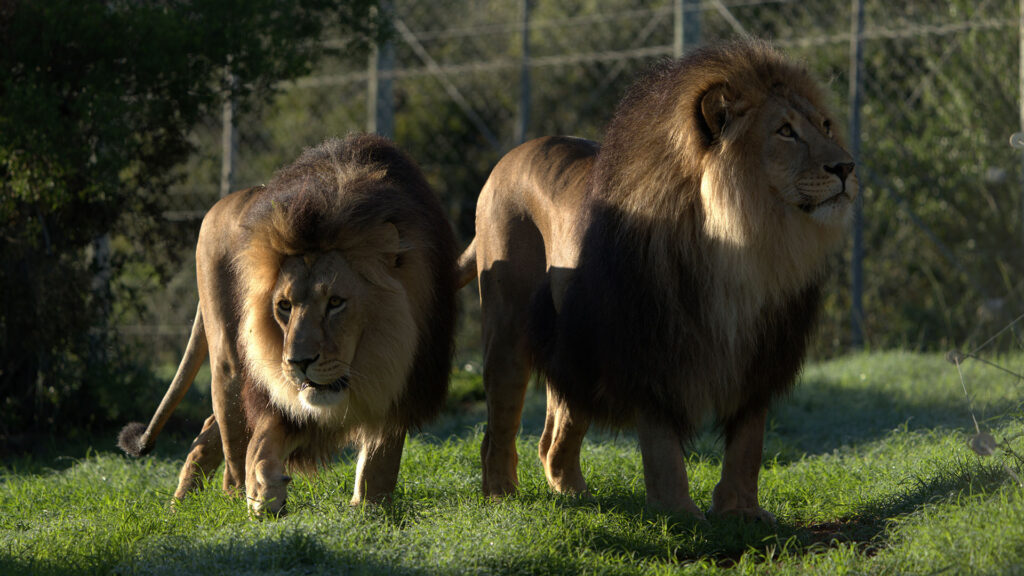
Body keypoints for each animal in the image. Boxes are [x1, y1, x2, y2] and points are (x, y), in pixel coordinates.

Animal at [119, 134, 457, 516]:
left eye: (335, 302)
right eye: (284, 306)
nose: (299, 362)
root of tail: (224, 202)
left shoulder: (401, 380)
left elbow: (380, 458)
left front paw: (370, 510)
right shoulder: (277, 392)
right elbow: (260, 444)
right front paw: (264, 492)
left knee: (210, 432)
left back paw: (183, 505)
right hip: (228, 367)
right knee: (232, 456)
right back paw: (223, 501)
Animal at [457, 39, 857, 521]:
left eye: (826, 125)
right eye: (784, 132)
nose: (847, 167)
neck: (748, 244)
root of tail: (506, 161)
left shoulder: (761, 353)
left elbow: (748, 442)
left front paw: (741, 512)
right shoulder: (650, 345)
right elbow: (663, 445)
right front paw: (677, 513)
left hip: (576, 346)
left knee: (553, 439)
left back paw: (575, 495)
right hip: (508, 334)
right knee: (498, 428)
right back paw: (501, 497)